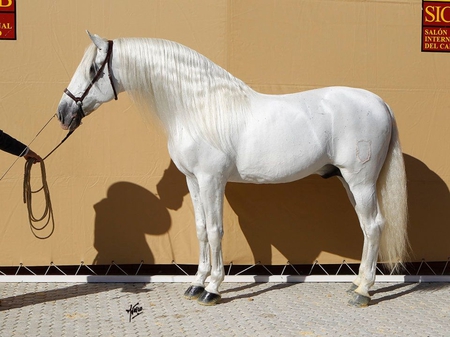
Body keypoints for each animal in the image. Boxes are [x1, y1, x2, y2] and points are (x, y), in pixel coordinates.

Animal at [56, 32, 408, 308]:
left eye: (93, 68)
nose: (63, 112)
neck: (198, 108)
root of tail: (381, 103)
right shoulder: (193, 180)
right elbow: (201, 230)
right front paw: (196, 283)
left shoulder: (212, 180)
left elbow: (215, 231)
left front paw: (212, 289)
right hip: (350, 182)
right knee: (367, 228)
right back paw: (357, 284)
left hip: (360, 181)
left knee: (374, 225)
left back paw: (363, 292)